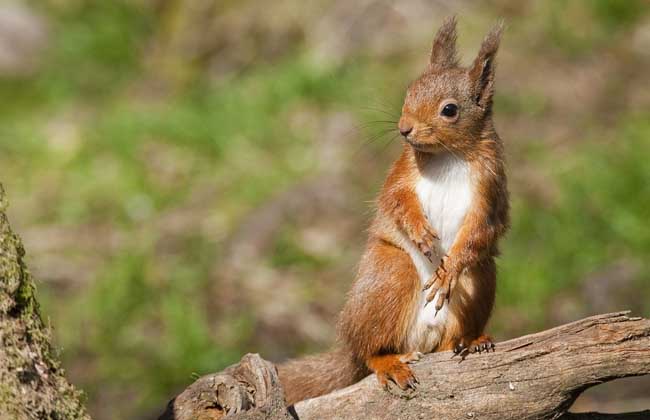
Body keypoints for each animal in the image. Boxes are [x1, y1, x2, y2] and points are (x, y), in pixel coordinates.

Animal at [276, 18, 508, 406]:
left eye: (450, 109)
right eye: (409, 91)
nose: (404, 129)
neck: (449, 156)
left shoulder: (489, 189)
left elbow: (483, 228)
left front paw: (449, 270)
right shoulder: (401, 174)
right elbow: (397, 201)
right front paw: (421, 233)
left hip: (480, 279)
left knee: (451, 333)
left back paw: (470, 340)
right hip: (391, 274)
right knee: (370, 352)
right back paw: (388, 362)